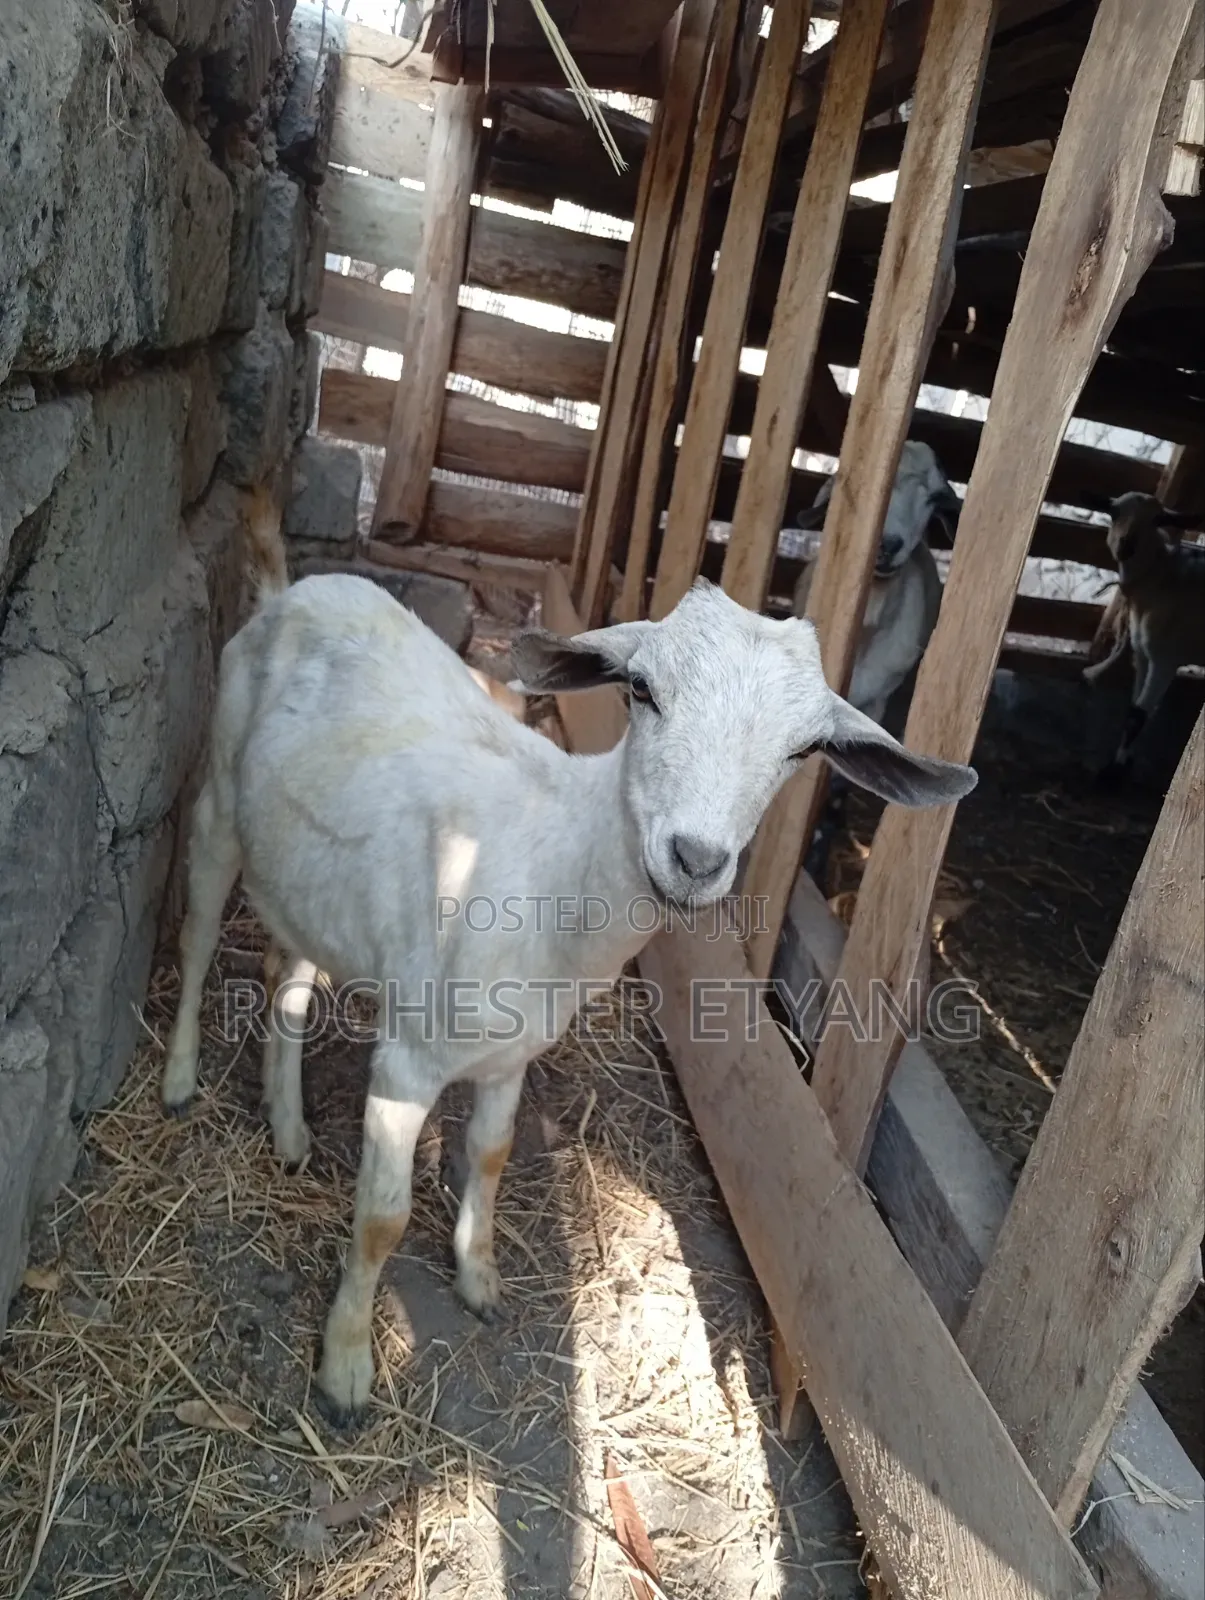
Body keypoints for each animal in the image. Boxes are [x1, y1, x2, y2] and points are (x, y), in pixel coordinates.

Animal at [161, 526, 976, 1425]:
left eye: (804, 748)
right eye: (642, 690)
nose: (695, 859)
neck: (551, 873)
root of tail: (294, 592)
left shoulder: (513, 1052)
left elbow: (491, 1153)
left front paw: (479, 1279)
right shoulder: (408, 1061)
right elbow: (381, 1218)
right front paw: (344, 1370)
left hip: (310, 873)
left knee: (292, 975)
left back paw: (289, 1129)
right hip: (217, 793)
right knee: (198, 936)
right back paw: (179, 1081)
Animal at [1082, 492, 1205, 780]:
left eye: (1158, 519)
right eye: (1113, 512)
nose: (1126, 546)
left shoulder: (1165, 658)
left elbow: (1137, 716)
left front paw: (1112, 775)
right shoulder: (1143, 655)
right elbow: (1134, 709)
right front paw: (1124, 760)